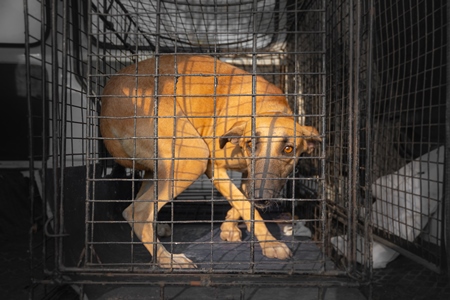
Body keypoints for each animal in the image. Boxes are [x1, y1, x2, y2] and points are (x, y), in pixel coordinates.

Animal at [100, 55, 322, 268]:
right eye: (251, 144)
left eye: (288, 149)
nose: (262, 197)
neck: (267, 107)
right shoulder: (213, 168)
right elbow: (245, 204)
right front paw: (270, 243)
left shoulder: (248, 175)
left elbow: (241, 201)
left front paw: (229, 227)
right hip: (193, 156)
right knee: (137, 212)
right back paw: (167, 259)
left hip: (159, 169)